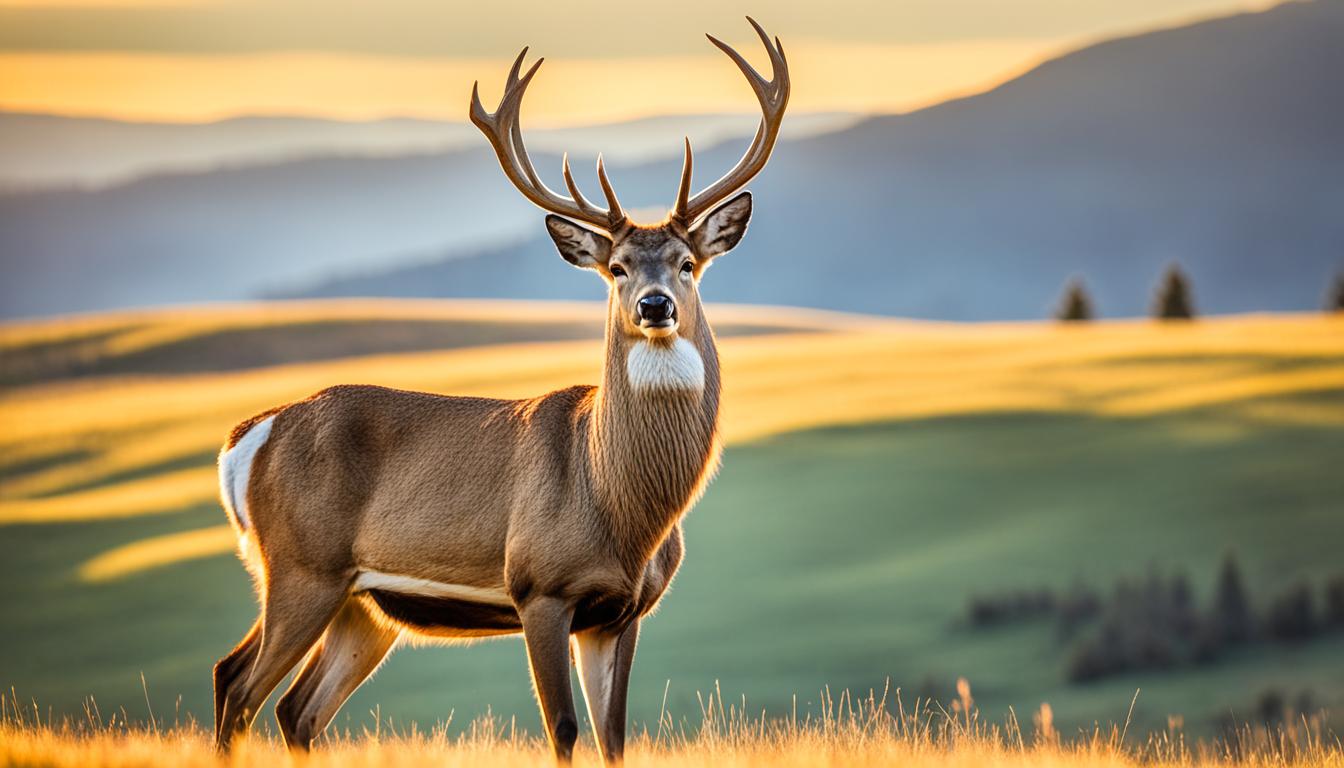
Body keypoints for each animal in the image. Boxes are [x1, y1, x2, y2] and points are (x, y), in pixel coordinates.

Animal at [212, 16, 784, 763]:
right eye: (617, 267)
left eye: (688, 263)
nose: (654, 304)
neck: (618, 503)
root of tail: (247, 437)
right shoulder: (538, 586)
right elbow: (564, 730)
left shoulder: (620, 611)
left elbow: (615, 737)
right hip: (300, 565)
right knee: (238, 684)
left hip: (362, 604)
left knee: (294, 708)